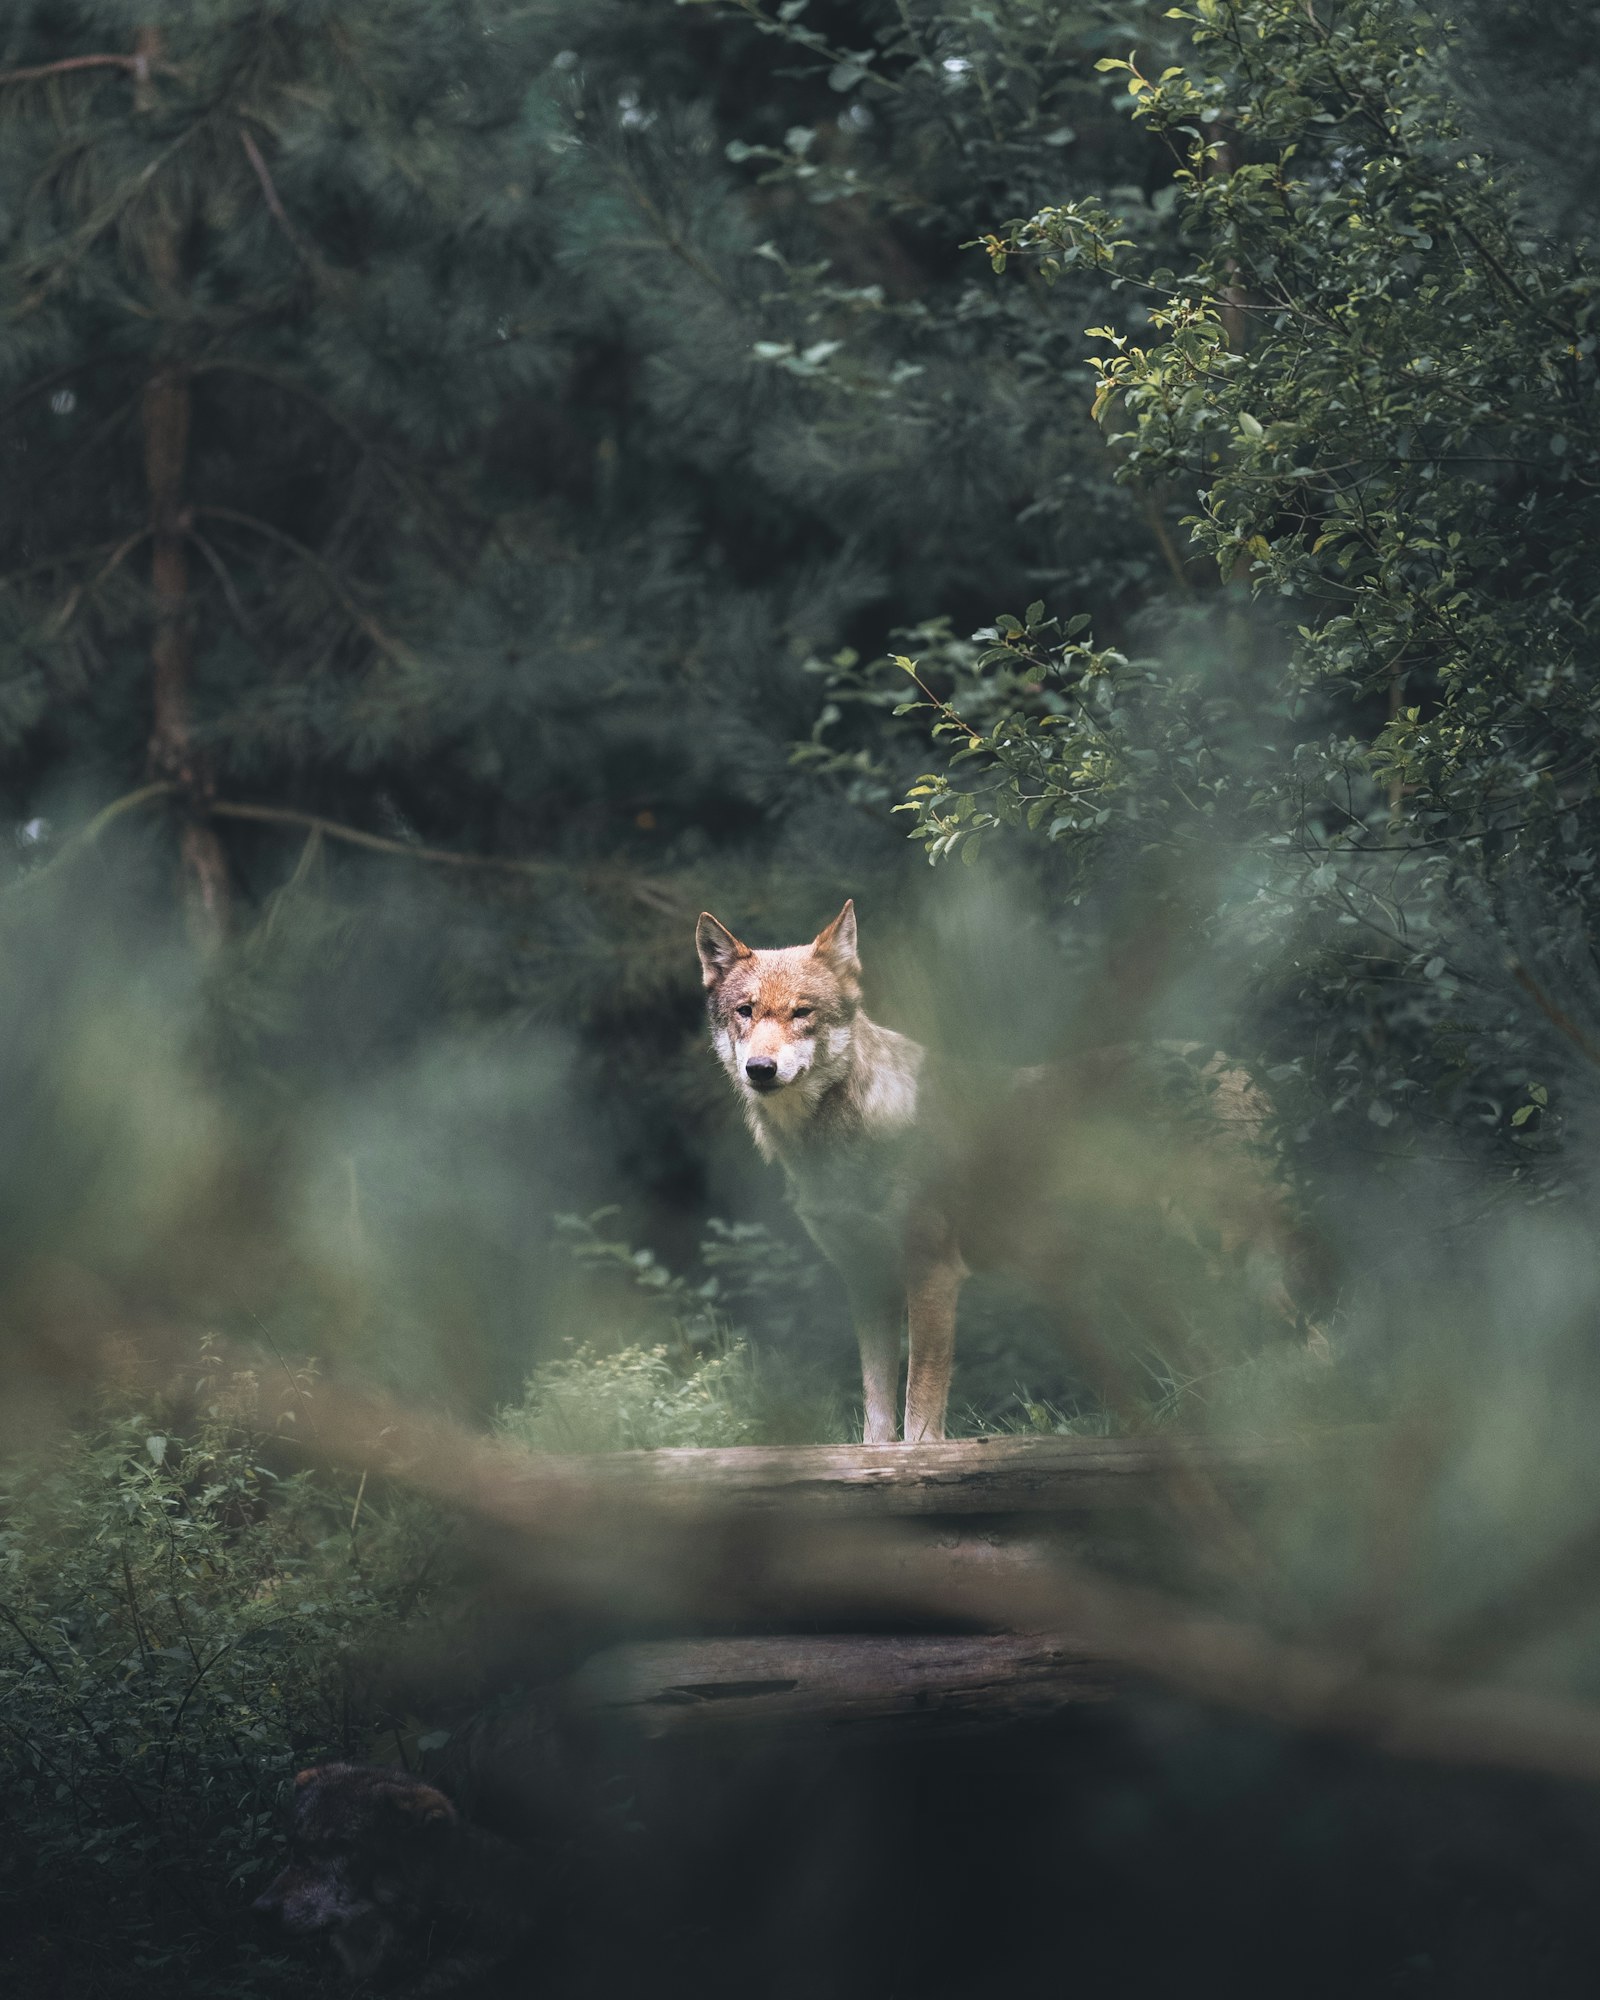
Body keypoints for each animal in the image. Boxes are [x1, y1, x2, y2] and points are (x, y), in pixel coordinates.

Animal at [696, 900, 1311, 1444]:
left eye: (802, 1012)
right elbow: (876, 1419)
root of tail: (1245, 1069)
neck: (835, 1147)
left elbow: (920, 1416)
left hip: (1219, 1263)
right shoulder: (867, 1283)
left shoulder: (934, 1273)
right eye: (746, 1011)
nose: (761, 1069)